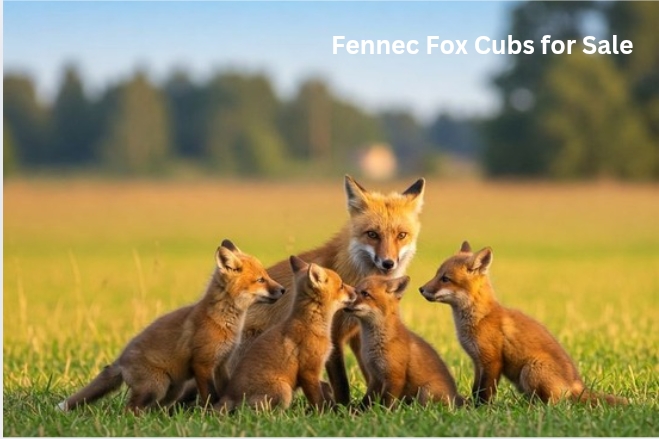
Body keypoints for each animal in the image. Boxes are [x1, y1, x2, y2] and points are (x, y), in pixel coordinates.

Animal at [58, 240, 285, 413]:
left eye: (266, 276)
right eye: (260, 280)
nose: (283, 290)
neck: (223, 321)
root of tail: (120, 360)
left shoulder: (221, 363)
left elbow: (224, 391)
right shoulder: (202, 364)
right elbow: (210, 394)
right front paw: (210, 413)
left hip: (172, 388)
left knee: (155, 407)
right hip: (156, 386)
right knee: (130, 409)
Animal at [218, 256, 356, 412]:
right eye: (342, 285)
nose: (357, 290)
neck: (311, 324)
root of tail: (229, 395)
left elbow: (325, 390)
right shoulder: (308, 371)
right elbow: (317, 399)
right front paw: (323, 413)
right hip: (284, 389)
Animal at [228, 175, 425, 405]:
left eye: (402, 235)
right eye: (372, 234)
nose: (388, 263)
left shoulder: (360, 332)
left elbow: (372, 373)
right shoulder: (334, 335)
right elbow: (342, 384)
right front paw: (344, 409)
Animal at [346, 275, 464, 409]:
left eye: (365, 293)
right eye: (355, 290)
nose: (345, 300)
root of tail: (456, 396)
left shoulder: (394, 377)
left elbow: (386, 402)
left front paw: (384, 412)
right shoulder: (375, 377)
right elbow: (366, 401)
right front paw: (356, 411)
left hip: (425, 392)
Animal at [419, 241, 628, 406]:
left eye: (445, 279)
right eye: (436, 274)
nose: (421, 289)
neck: (480, 318)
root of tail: (577, 384)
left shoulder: (492, 360)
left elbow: (485, 393)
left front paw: (481, 410)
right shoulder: (478, 362)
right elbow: (476, 389)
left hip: (530, 370)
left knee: (555, 404)